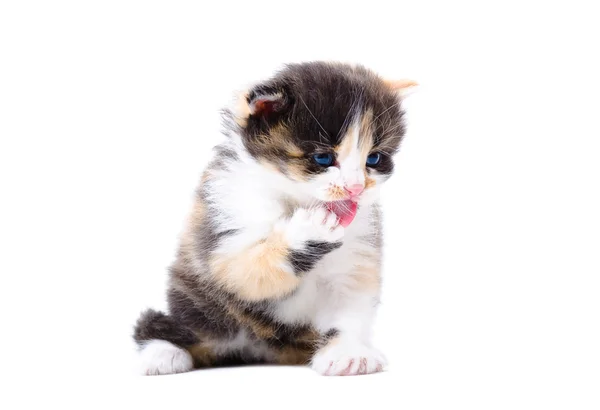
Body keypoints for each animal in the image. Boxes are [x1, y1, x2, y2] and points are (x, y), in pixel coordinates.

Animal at [132, 60, 412, 374]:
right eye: (322, 158)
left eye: (374, 158)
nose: (355, 188)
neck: (296, 200)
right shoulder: (223, 225)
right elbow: (247, 267)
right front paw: (310, 231)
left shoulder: (356, 260)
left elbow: (350, 307)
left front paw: (348, 352)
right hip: (197, 301)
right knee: (164, 323)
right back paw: (162, 352)